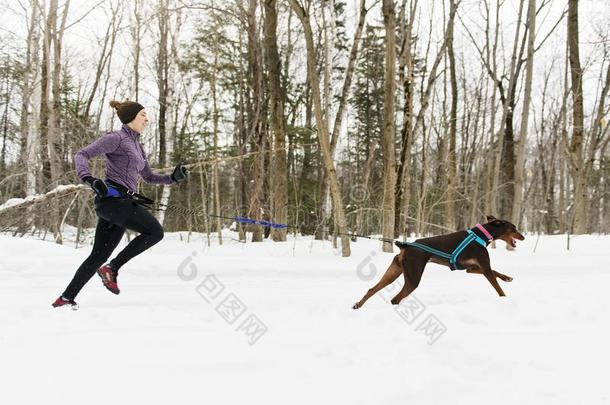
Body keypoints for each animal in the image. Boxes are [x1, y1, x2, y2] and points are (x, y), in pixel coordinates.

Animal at [352, 216, 524, 308]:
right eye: (514, 228)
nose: (523, 237)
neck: (480, 235)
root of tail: (406, 245)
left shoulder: (471, 268)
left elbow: (496, 273)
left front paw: (507, 278)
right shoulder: (484, 267)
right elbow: (498, 288)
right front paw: (505, 299)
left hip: (393, 272)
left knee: (372, 289)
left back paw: (358, 305)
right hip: (413, 278)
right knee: (395, 299)